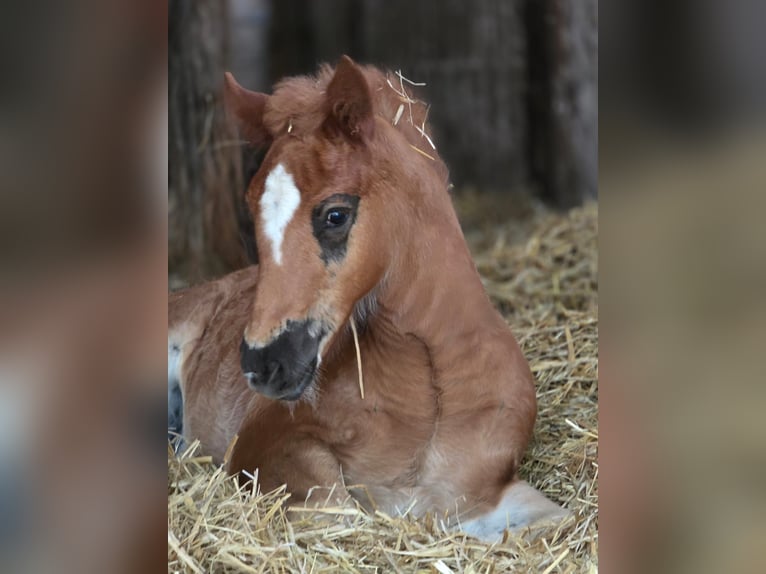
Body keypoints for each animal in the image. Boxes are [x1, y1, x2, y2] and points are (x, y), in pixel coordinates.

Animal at [168, 56, 569, 540]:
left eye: (336, 215)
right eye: (251, 211)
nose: (263, 363)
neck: (432, 388)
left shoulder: (483, 495)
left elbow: (550, 522)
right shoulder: (264, 445)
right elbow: (336, 511)